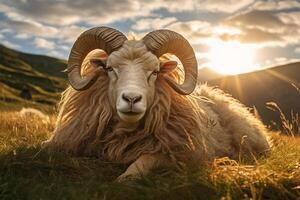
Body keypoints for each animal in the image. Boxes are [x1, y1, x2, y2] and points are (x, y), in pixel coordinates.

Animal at [43, 26, 270, 181]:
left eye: (154, 71)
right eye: (109, 68)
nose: (131, 99)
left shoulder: (178, 153)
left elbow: (144, 162)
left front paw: (124, 179)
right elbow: (48, 147)